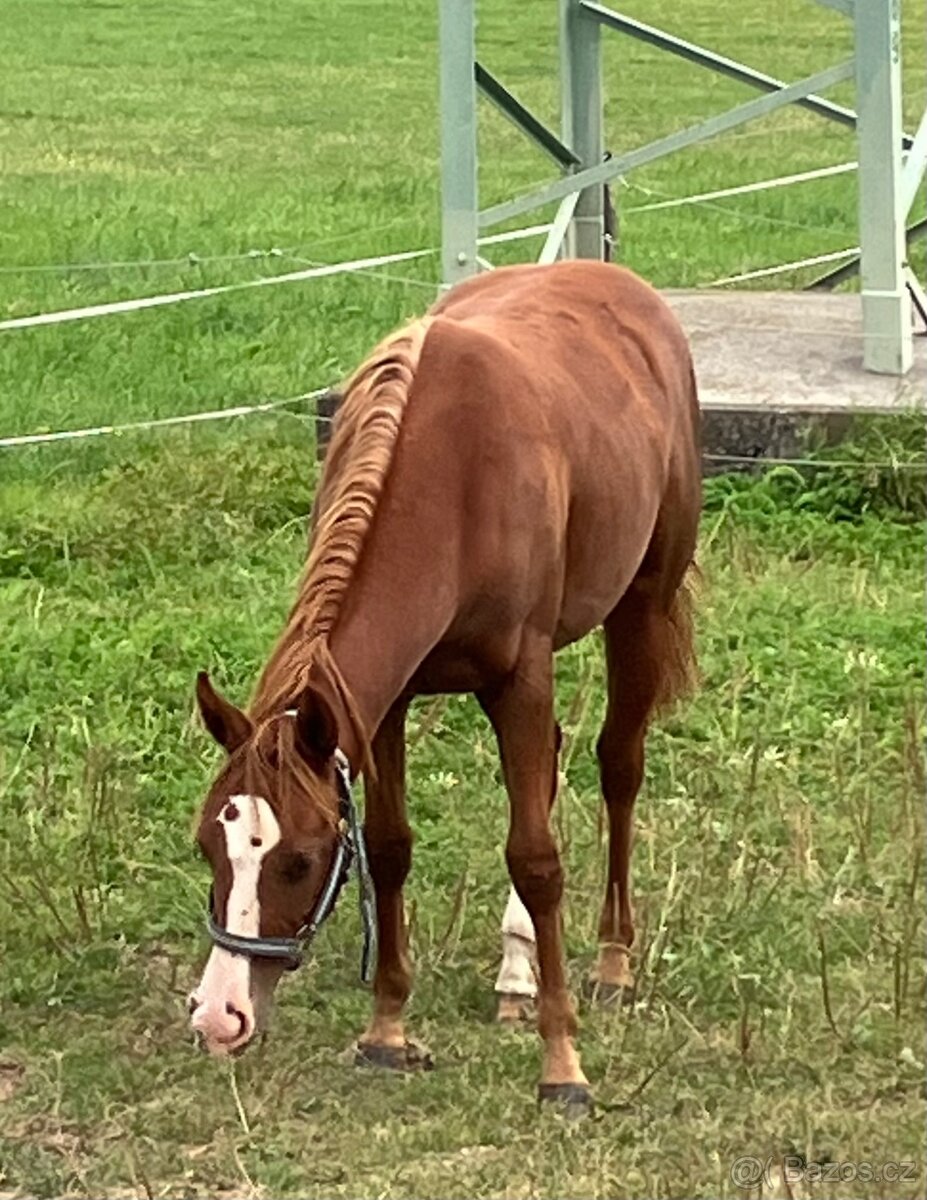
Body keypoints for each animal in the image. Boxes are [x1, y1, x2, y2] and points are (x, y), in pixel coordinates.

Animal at [188, 258, 701, 1108]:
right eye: (208, 847)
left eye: (298, 859)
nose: (219, 1015)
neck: (452, 483)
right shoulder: (381, 702)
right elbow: (390, 846)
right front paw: (386, 1031)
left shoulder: (521, 676)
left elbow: (536, 858)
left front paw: (563, 1065)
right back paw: (516, 971)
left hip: (640, 605)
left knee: (618, 763)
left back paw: (610, 960)